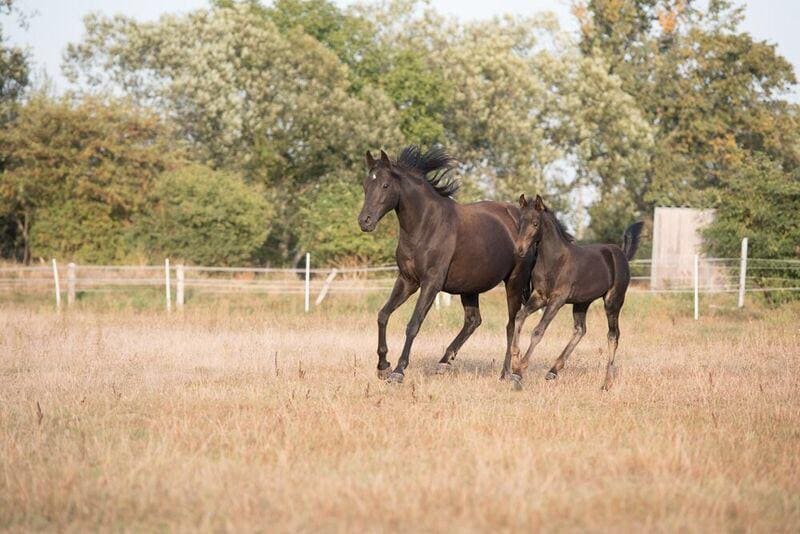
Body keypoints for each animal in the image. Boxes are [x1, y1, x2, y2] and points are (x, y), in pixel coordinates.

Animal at [356, 147, 532, 386]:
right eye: (366, 185)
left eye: (385, 185)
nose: (365, 221)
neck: (426, 225)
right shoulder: (407, 280)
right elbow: (383, 315)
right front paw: (383, 366)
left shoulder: (431, 283)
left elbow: (414, 324)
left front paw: (398, 371)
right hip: (470, 287)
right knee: (473, 321)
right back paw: (443, 363)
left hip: (514, 283)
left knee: (511, 324)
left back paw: (505, 373)